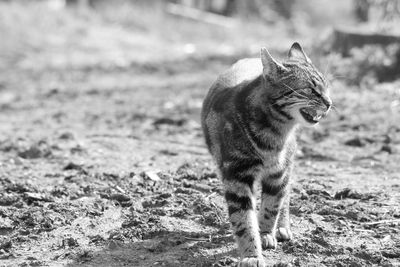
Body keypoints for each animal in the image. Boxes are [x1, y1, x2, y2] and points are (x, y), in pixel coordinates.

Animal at [200, 43, 332, 266]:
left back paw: (282, 227)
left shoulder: (279, 173)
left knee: (285, 196)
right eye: (310, 89)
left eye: (326, 87)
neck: (275, 132)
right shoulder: (236, 177)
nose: (330, 103)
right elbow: (244, 220)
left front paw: (265, 233)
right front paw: (252, 254)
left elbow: (272, 206)